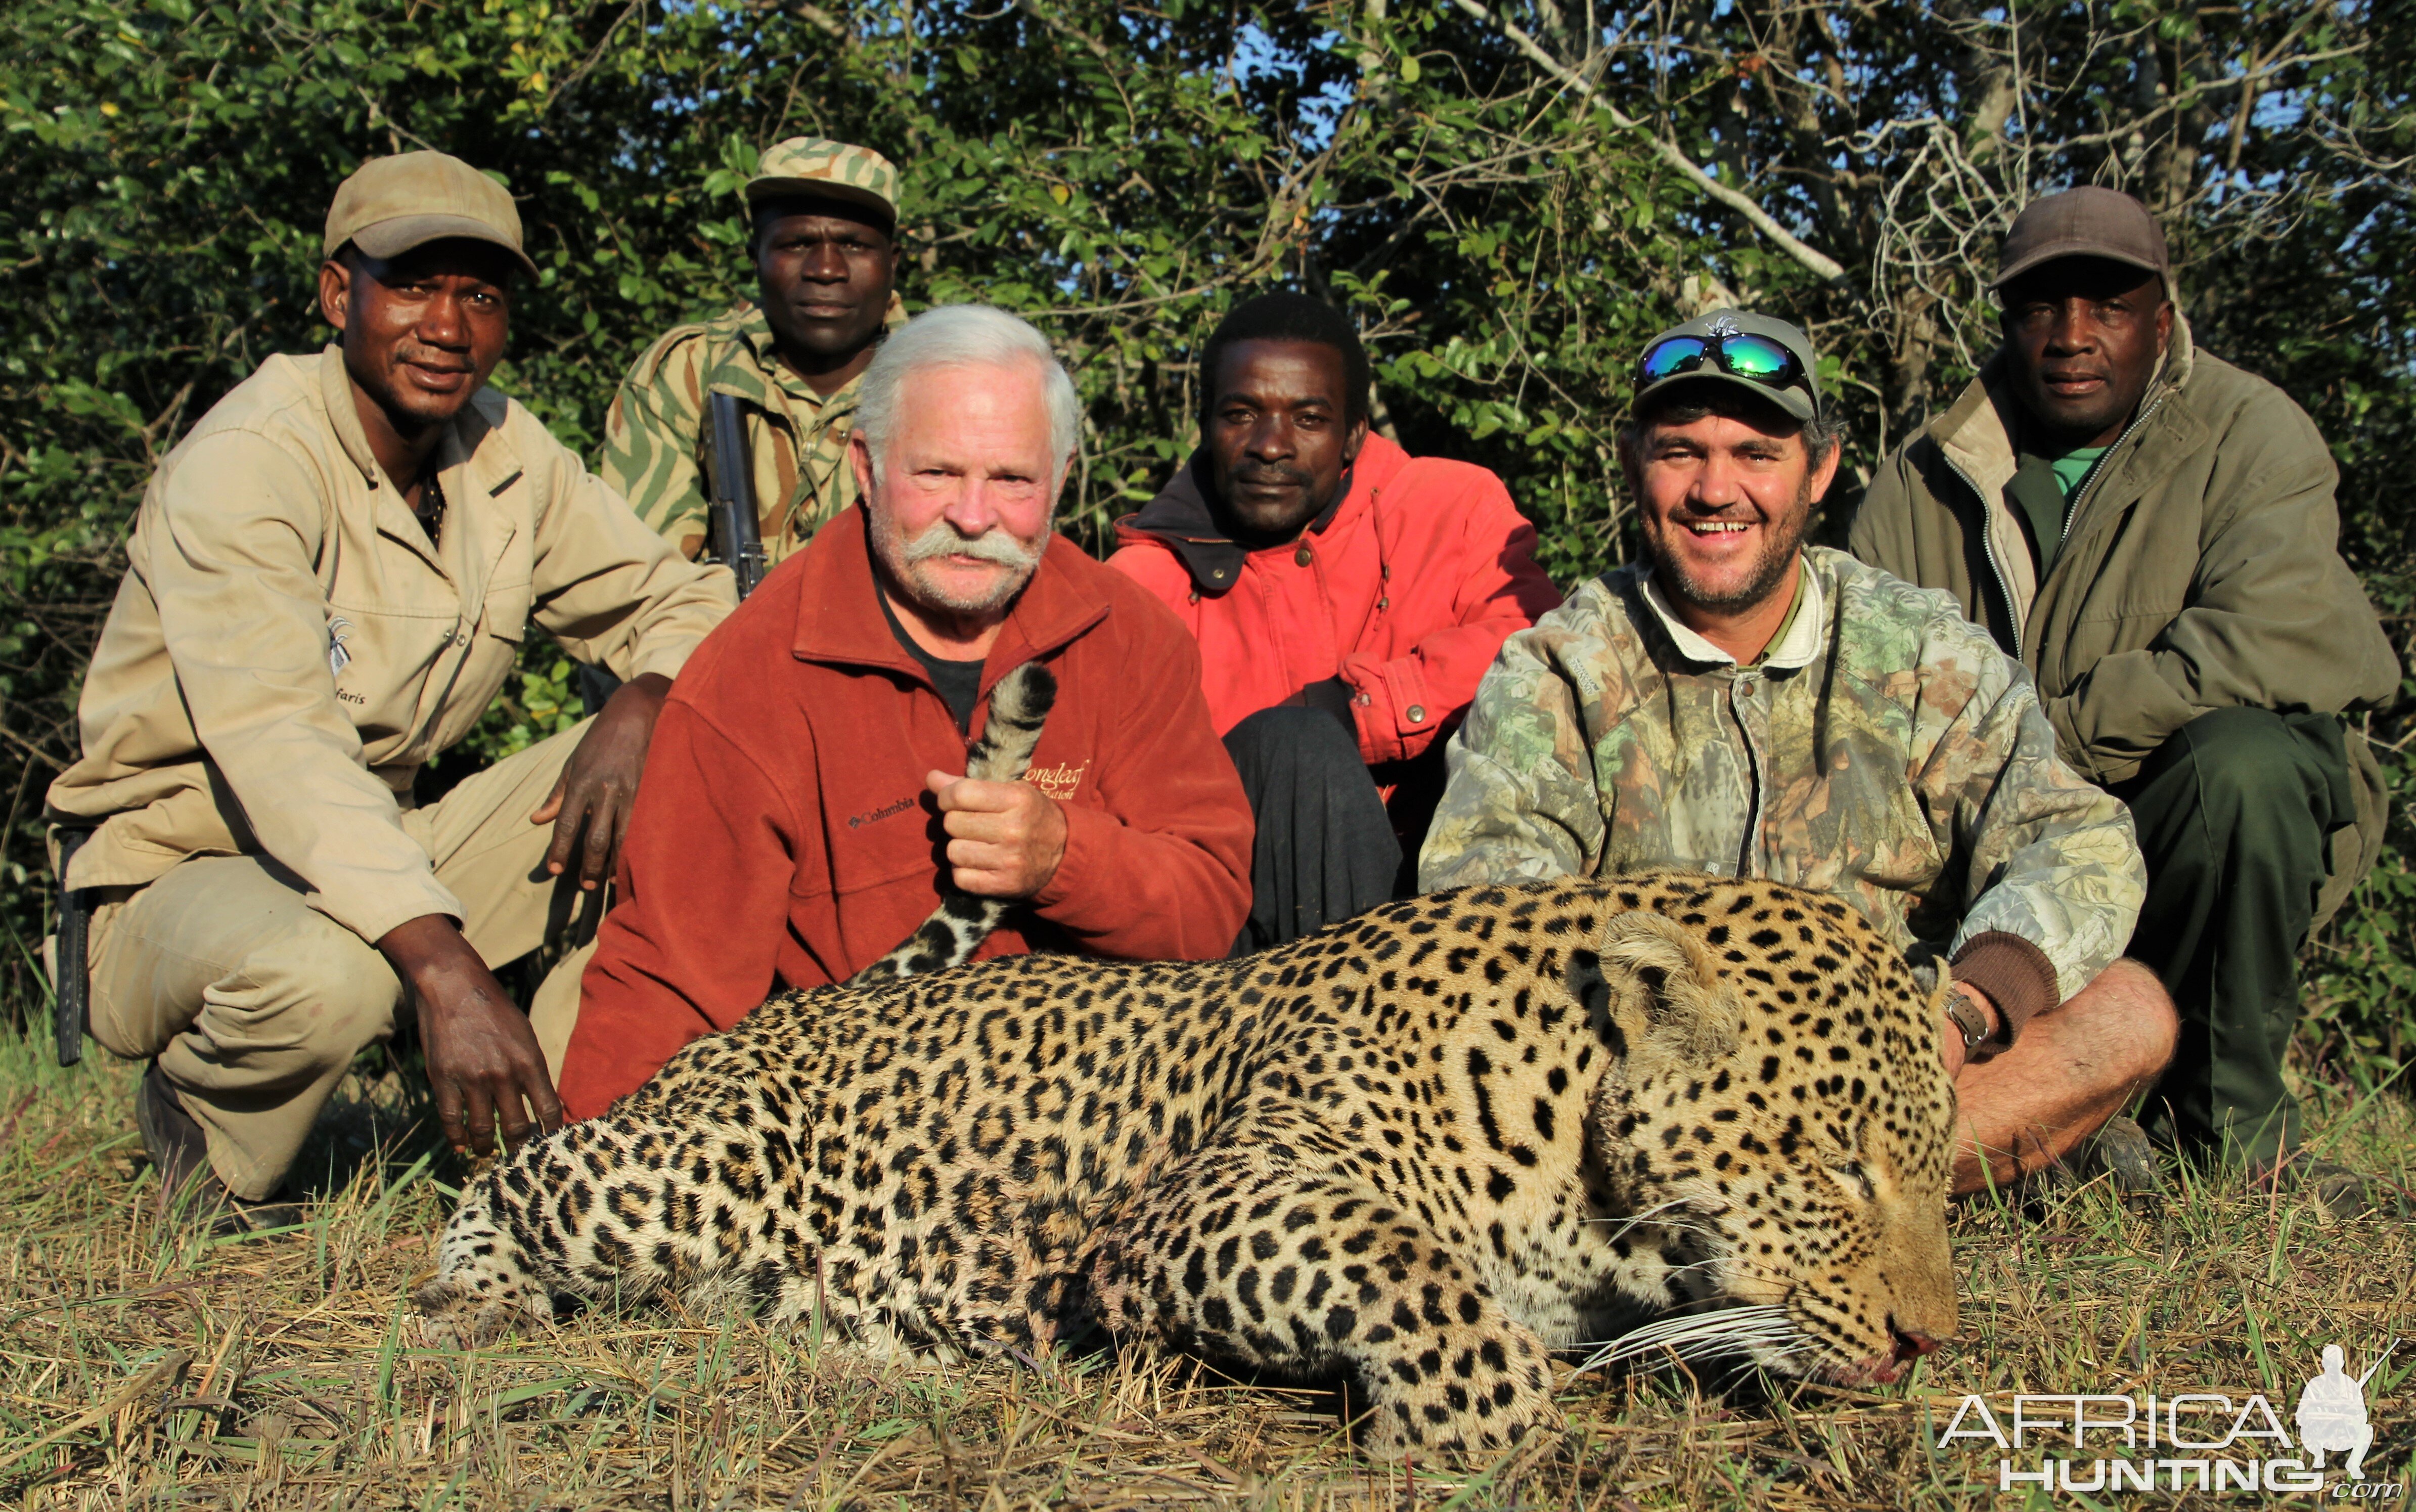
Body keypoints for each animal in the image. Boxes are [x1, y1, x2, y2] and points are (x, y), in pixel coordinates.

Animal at [420, 855, 1961, 1458]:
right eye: (1837, 1165)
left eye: (1941, 1170)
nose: (1932, 1342)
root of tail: (780, 1010)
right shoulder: (1215, 1195)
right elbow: (1418, 1274)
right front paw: (1467, 1430)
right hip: (692, 1173)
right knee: (515, 1171)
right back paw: (465, 1302)